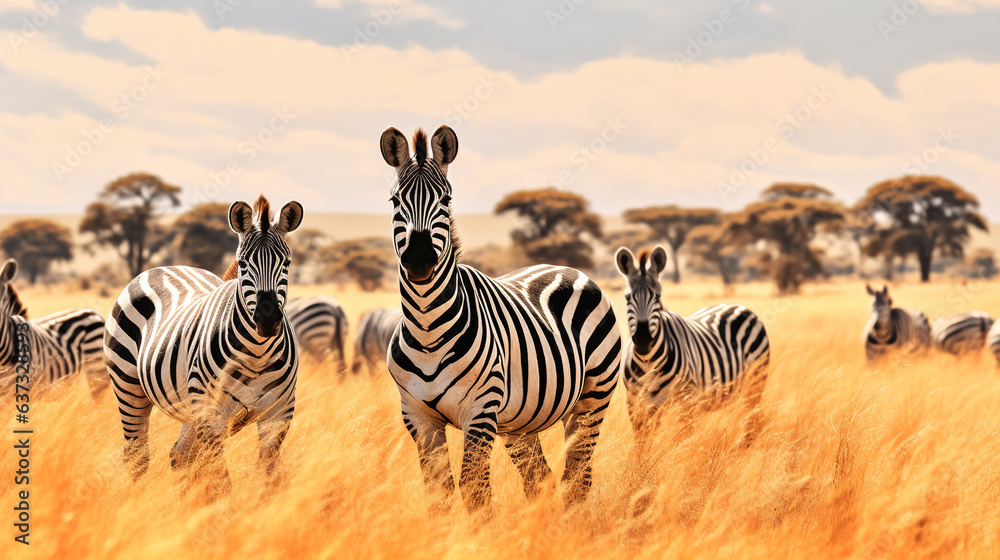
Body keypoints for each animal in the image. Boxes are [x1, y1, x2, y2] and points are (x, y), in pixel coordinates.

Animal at [104, 195, 302, 494]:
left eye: (287, 263)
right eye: (243, 264)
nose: (267, 320)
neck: (257, 353)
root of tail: (164, 267)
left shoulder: (279, 415)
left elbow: (269, 477)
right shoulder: (212, 417)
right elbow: (221, 480)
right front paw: (223, 508)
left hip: (190, 408)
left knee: (179, 455)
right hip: (128, 387)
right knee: (137, 457)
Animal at [380, 125, 622, 511]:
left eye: (445, 201)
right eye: (394, 201)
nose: (419, 262)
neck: (428, 327)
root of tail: (567, 267)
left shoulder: (480, 411)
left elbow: (474, 489)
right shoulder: (417, 416)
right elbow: (439, 492)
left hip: (593, 397)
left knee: (578, 476)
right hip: (519, 421)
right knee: (540, 478)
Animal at [614, 246, 770, 433]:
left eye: (657, 296)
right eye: (627, 297)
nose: (643, 340)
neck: (648, 362)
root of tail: (738, 305)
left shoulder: (686, 401)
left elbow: (683, 437)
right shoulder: (635, 403)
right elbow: (643, 439)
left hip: (756, 379)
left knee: (751, 420)